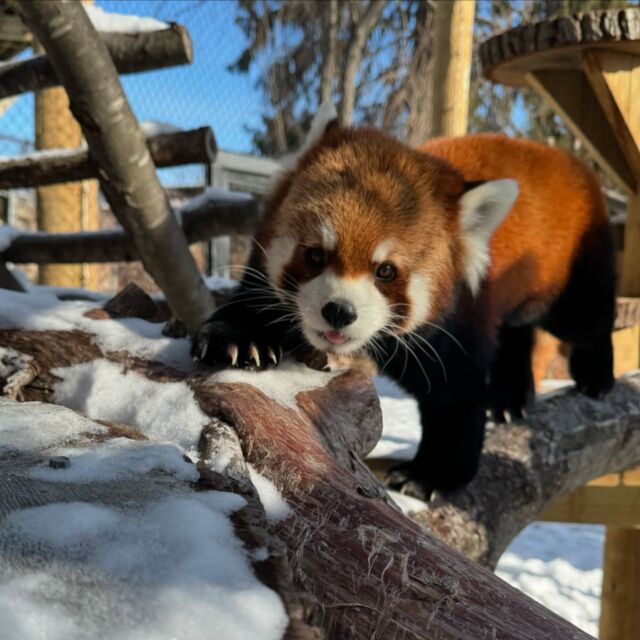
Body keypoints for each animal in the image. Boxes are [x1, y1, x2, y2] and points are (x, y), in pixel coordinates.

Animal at [194, 121, 616, 500]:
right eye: (315, 256)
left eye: (385, 271)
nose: (339, 311)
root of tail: (567, 159)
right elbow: (255, 307)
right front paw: (238, 338)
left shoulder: (455, 324)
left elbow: (455, 397)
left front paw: (432, 475)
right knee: (514, 333)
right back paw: (510, 399)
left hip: (571, 270)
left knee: (586, 320)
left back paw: (596, 376)